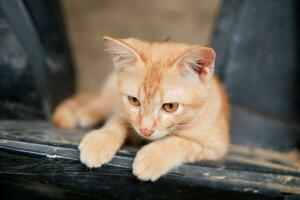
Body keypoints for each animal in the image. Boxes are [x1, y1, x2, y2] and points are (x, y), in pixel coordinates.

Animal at [52, 36, 230, 181]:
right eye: (134, 101)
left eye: (170, 107)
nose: (145, 131)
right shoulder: (124, 112)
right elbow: (116, 120)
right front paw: (99, 141)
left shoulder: (216, 145)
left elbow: (181, 142)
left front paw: (153, 158)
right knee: (101, 101)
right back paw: (85, 113)